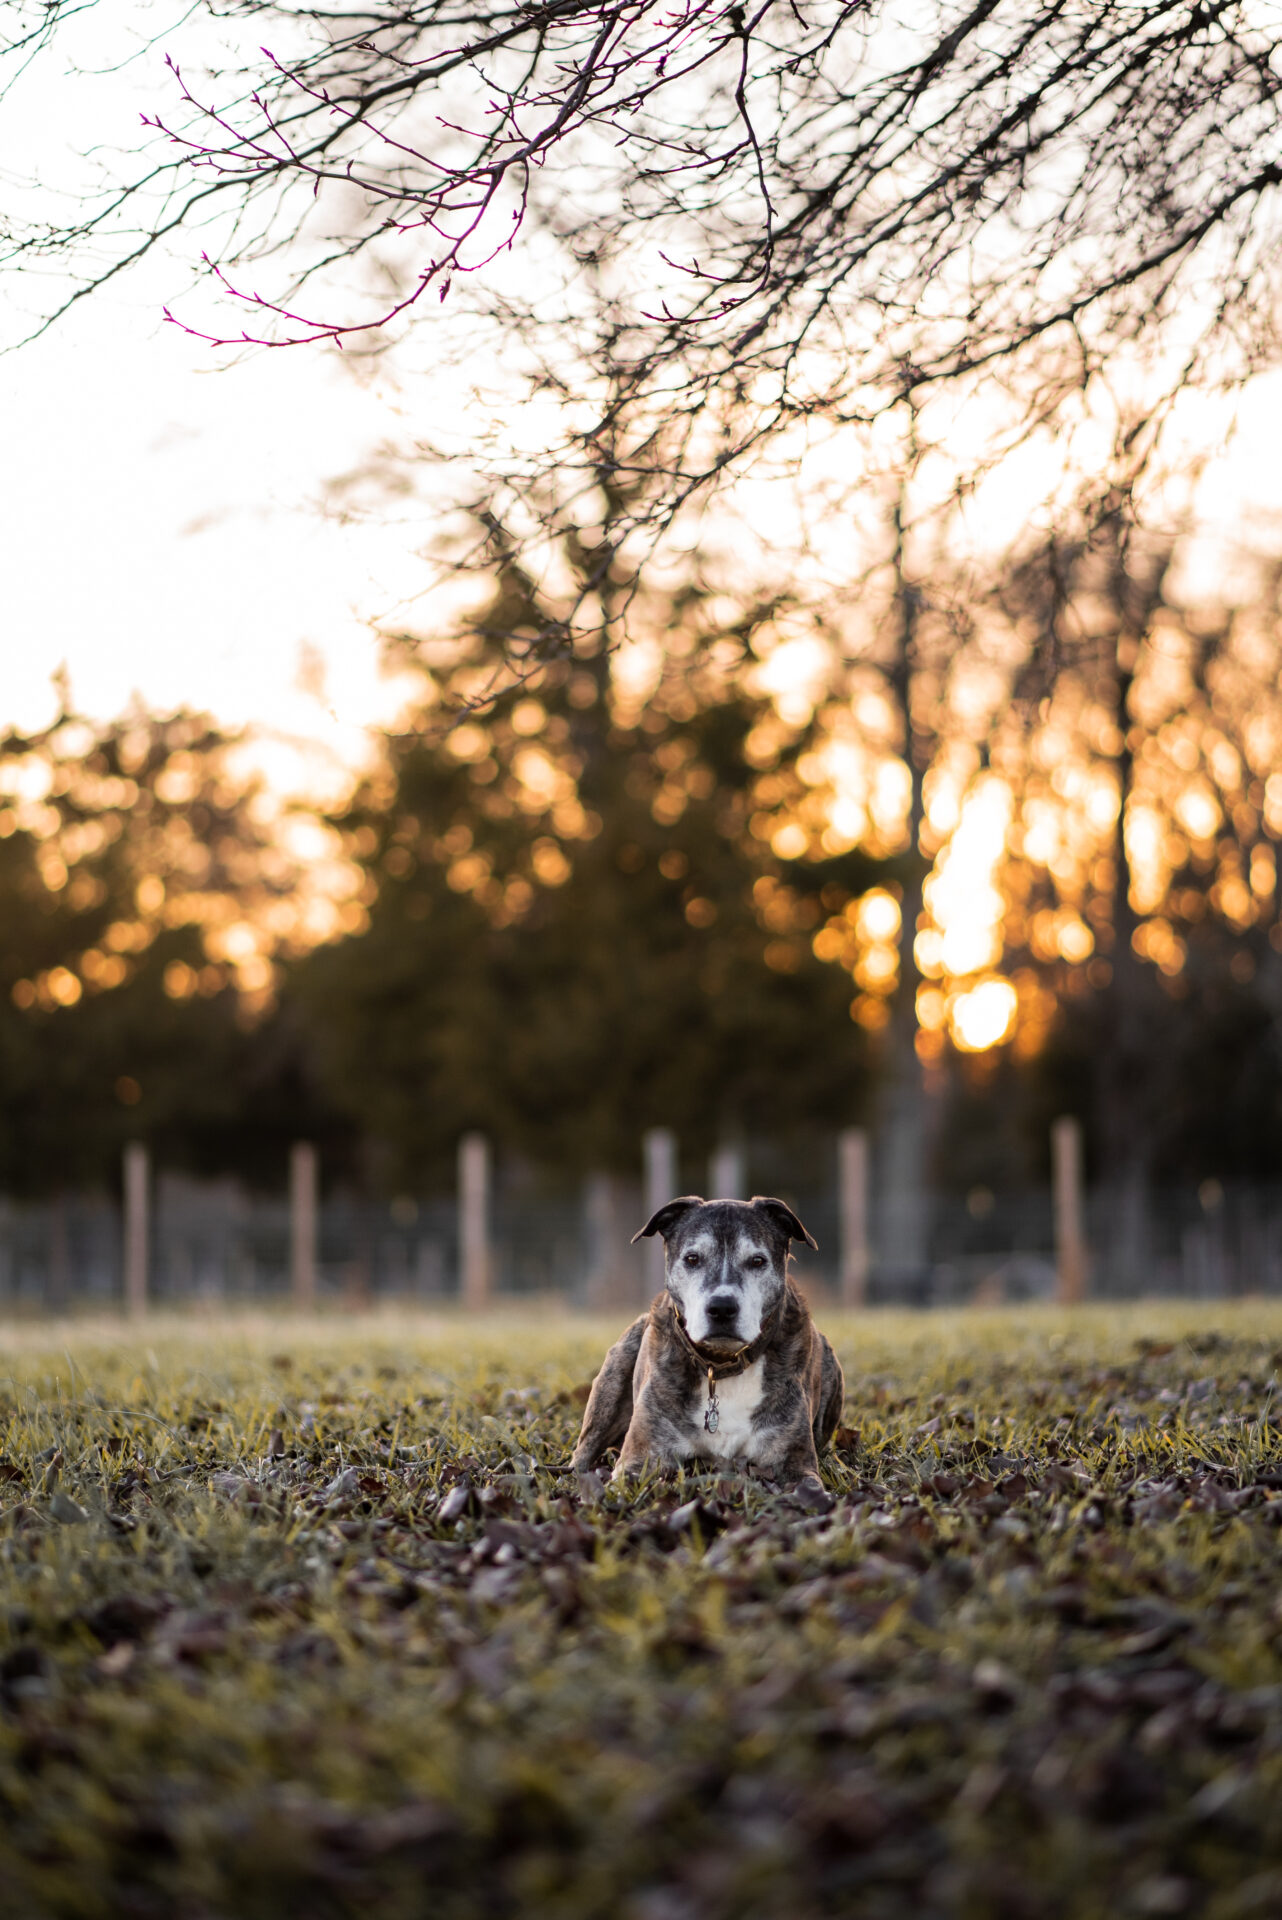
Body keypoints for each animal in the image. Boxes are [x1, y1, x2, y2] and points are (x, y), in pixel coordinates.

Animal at [571, 1190, 840, 1489]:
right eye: (692, 1258)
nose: (722, 1307)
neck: (720, 1363)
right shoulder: (638, 1460)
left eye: (757, 1261)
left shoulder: (797, 1464)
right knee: (581, 1453)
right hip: (613, 1378)